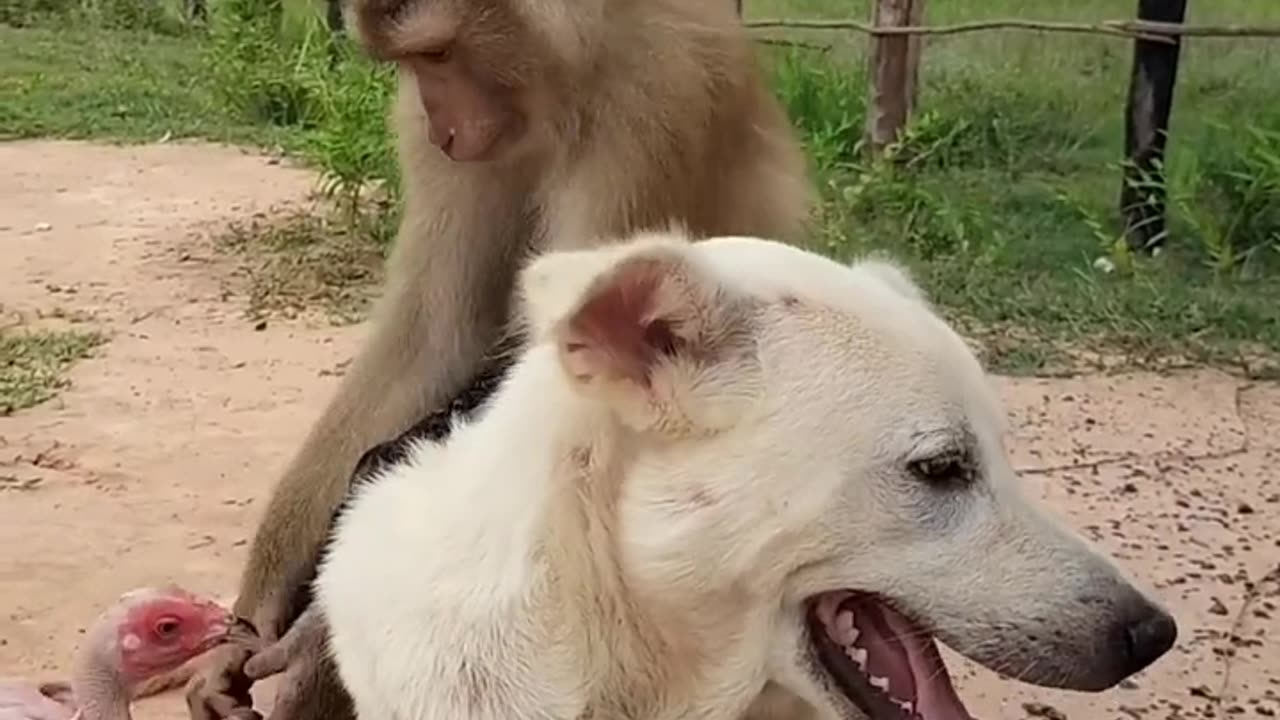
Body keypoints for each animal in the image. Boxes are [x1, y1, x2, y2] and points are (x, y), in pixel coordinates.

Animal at [185, 0, 814, 712]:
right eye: (413, 66)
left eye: (437, 55)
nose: (442, 125)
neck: (566, 73)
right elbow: (433, 337)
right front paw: (255, 618)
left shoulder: (660, 106)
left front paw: (319, 633)